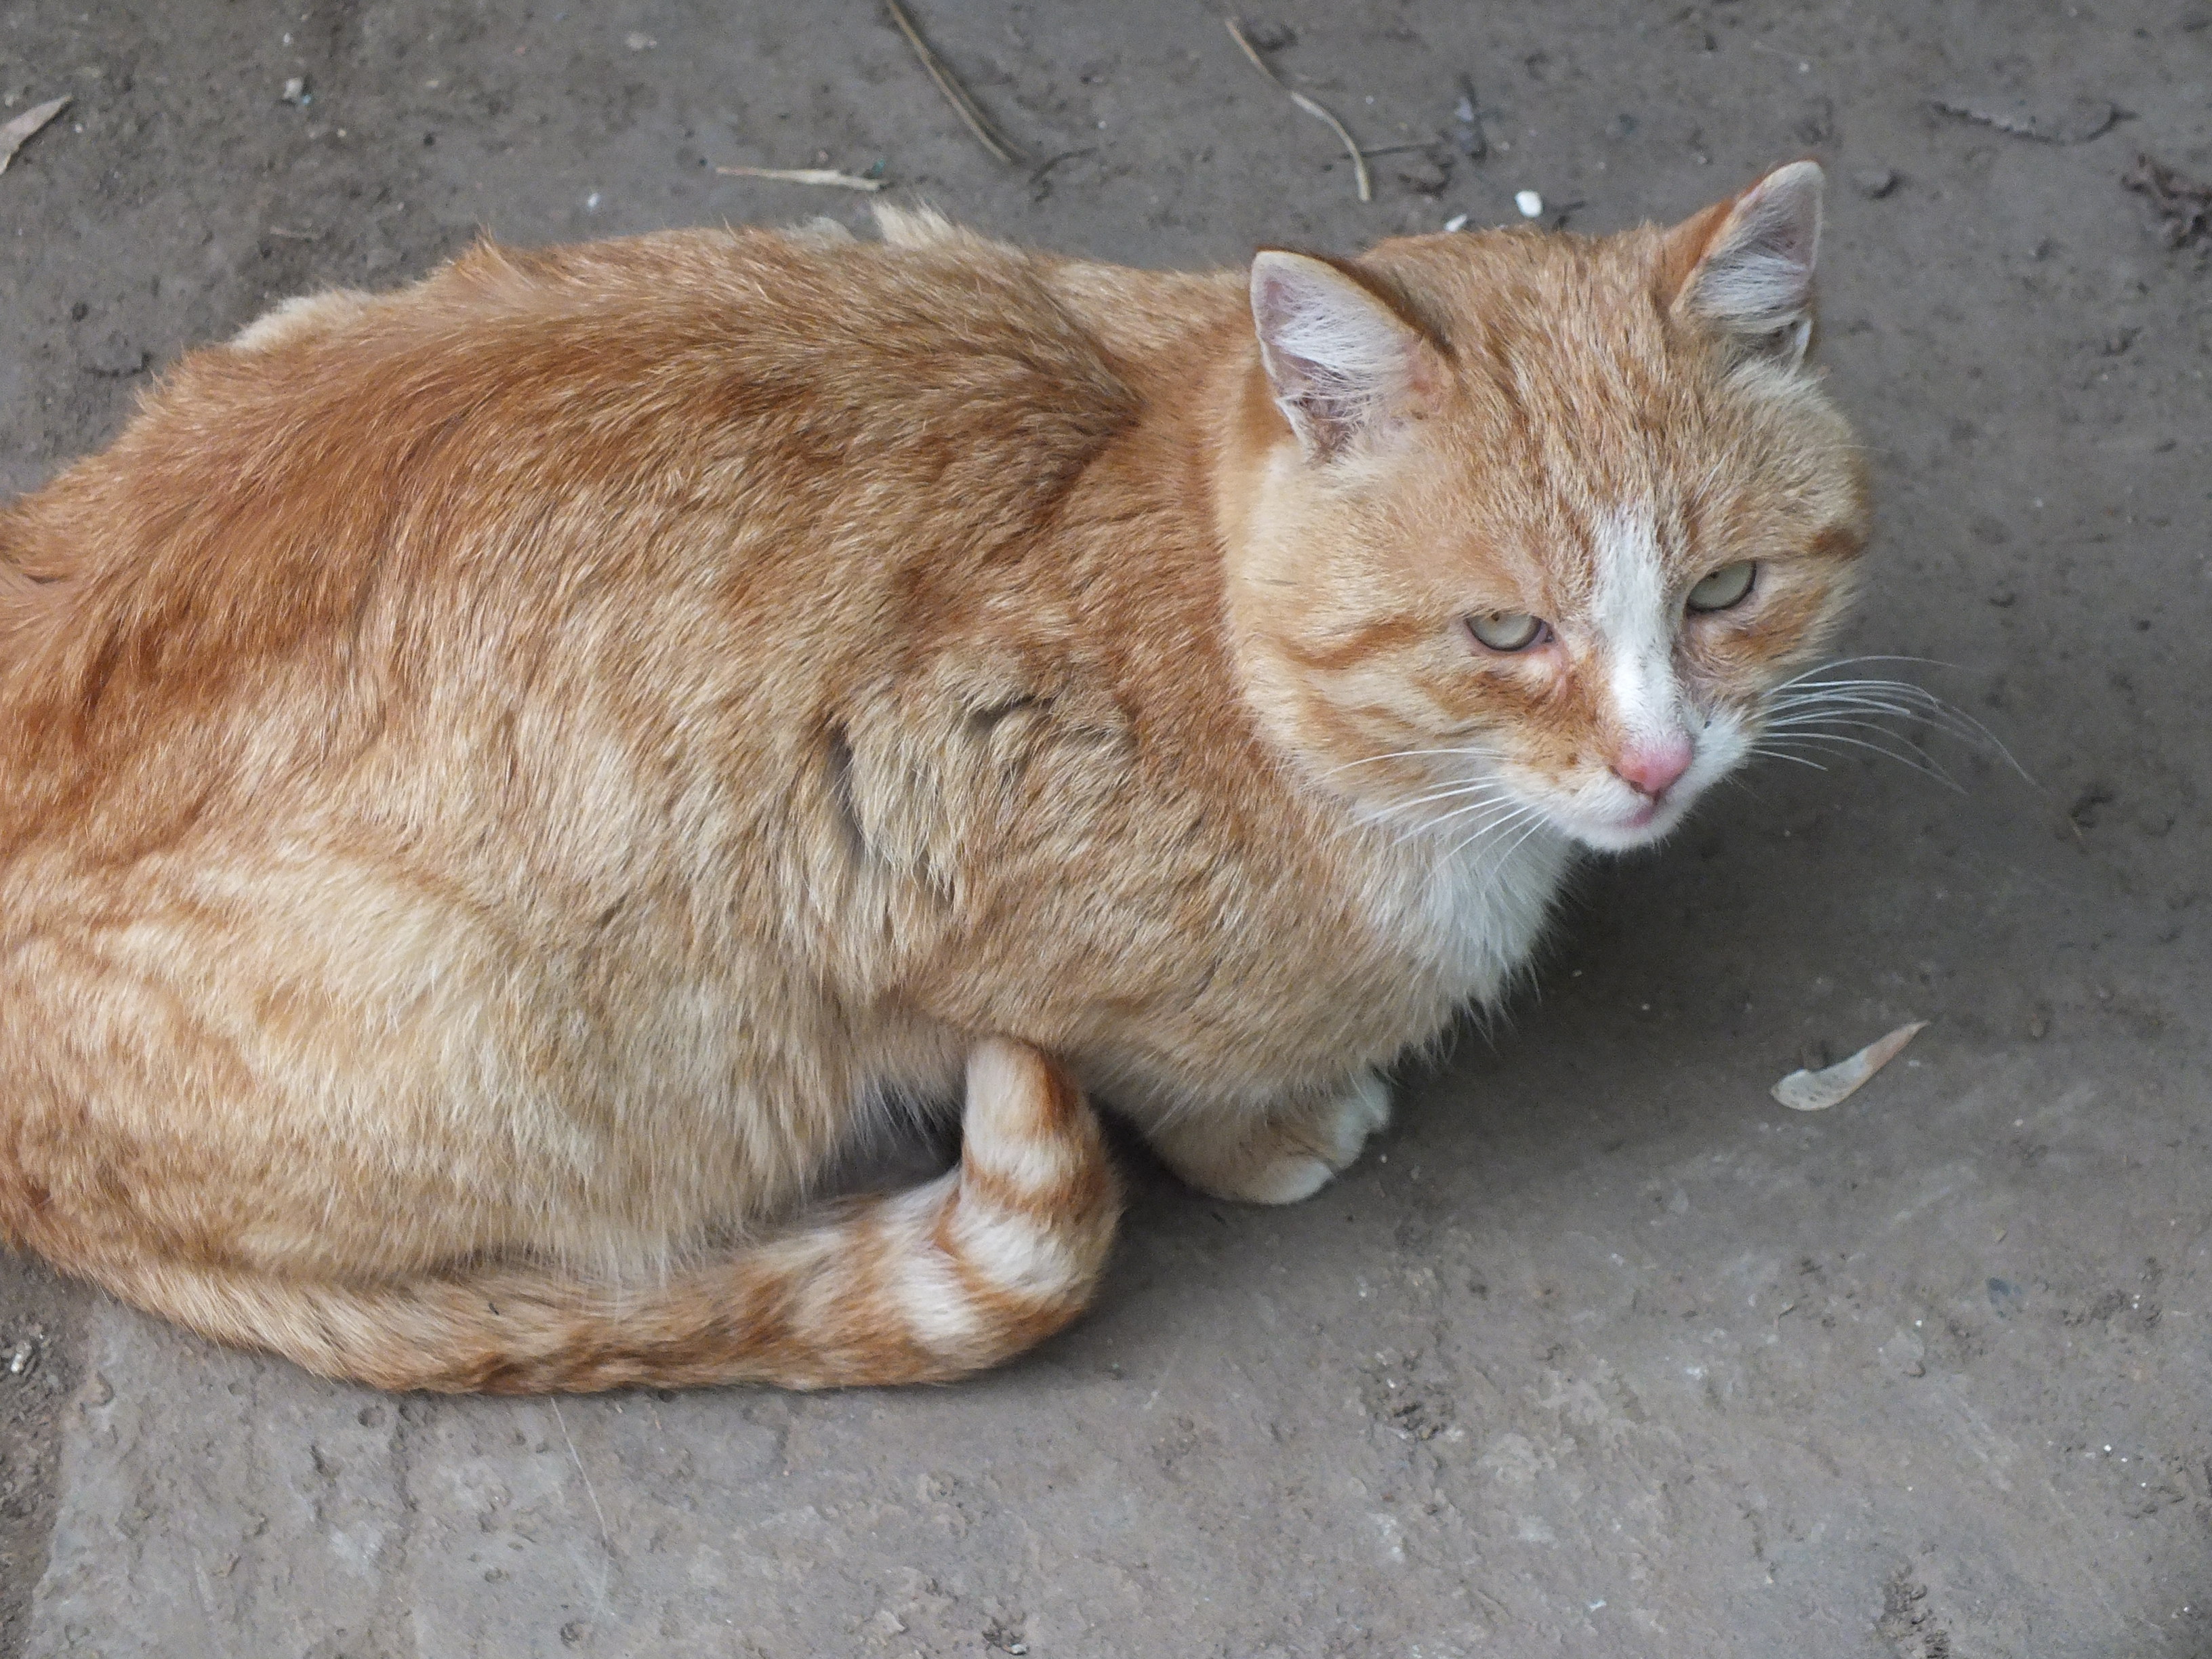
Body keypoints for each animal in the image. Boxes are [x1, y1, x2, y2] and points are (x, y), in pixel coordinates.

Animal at [0, 161, 1865, 1393]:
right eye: (1504, 630)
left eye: (1724, 591)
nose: (1657, 758)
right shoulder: (923, 871)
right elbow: (1159, 1071)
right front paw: (1275, 1130)